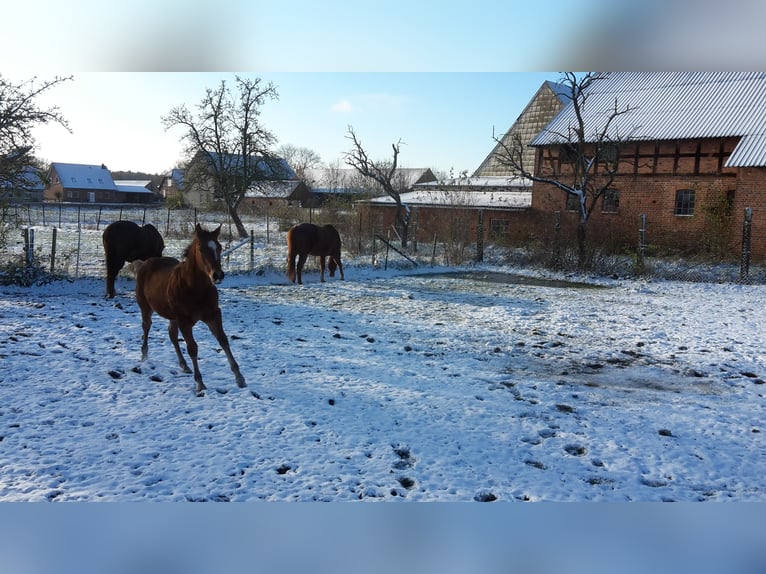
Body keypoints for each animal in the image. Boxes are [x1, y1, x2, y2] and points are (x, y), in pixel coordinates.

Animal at [136, 224, 246, 396]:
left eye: (220, 247)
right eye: (201, 249)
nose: (218, 275)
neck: (194, 288)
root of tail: (145, 263)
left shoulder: (213, 315)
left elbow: (223, 340)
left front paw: (239, 378)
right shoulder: (184, 321)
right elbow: (193, 348)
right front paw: (200, 383)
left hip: (173, 317)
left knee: (172, 335)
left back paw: (184, 365)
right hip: (146, 308)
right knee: (146, 327)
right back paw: (144, 356)